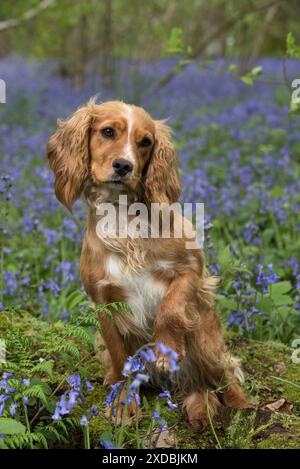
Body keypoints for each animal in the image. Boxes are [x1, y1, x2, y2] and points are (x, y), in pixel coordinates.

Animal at [47, 99, 248, 428]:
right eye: (107, 131)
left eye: (145, 142)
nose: (124, 166)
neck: (123, 217)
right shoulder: (103, 302)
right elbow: (121, 360)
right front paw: (122, 402)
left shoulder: (192, 270)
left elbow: (171, 308)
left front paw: (165, 349)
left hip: (205, 338)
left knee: (223, 377)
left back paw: (241, 407)